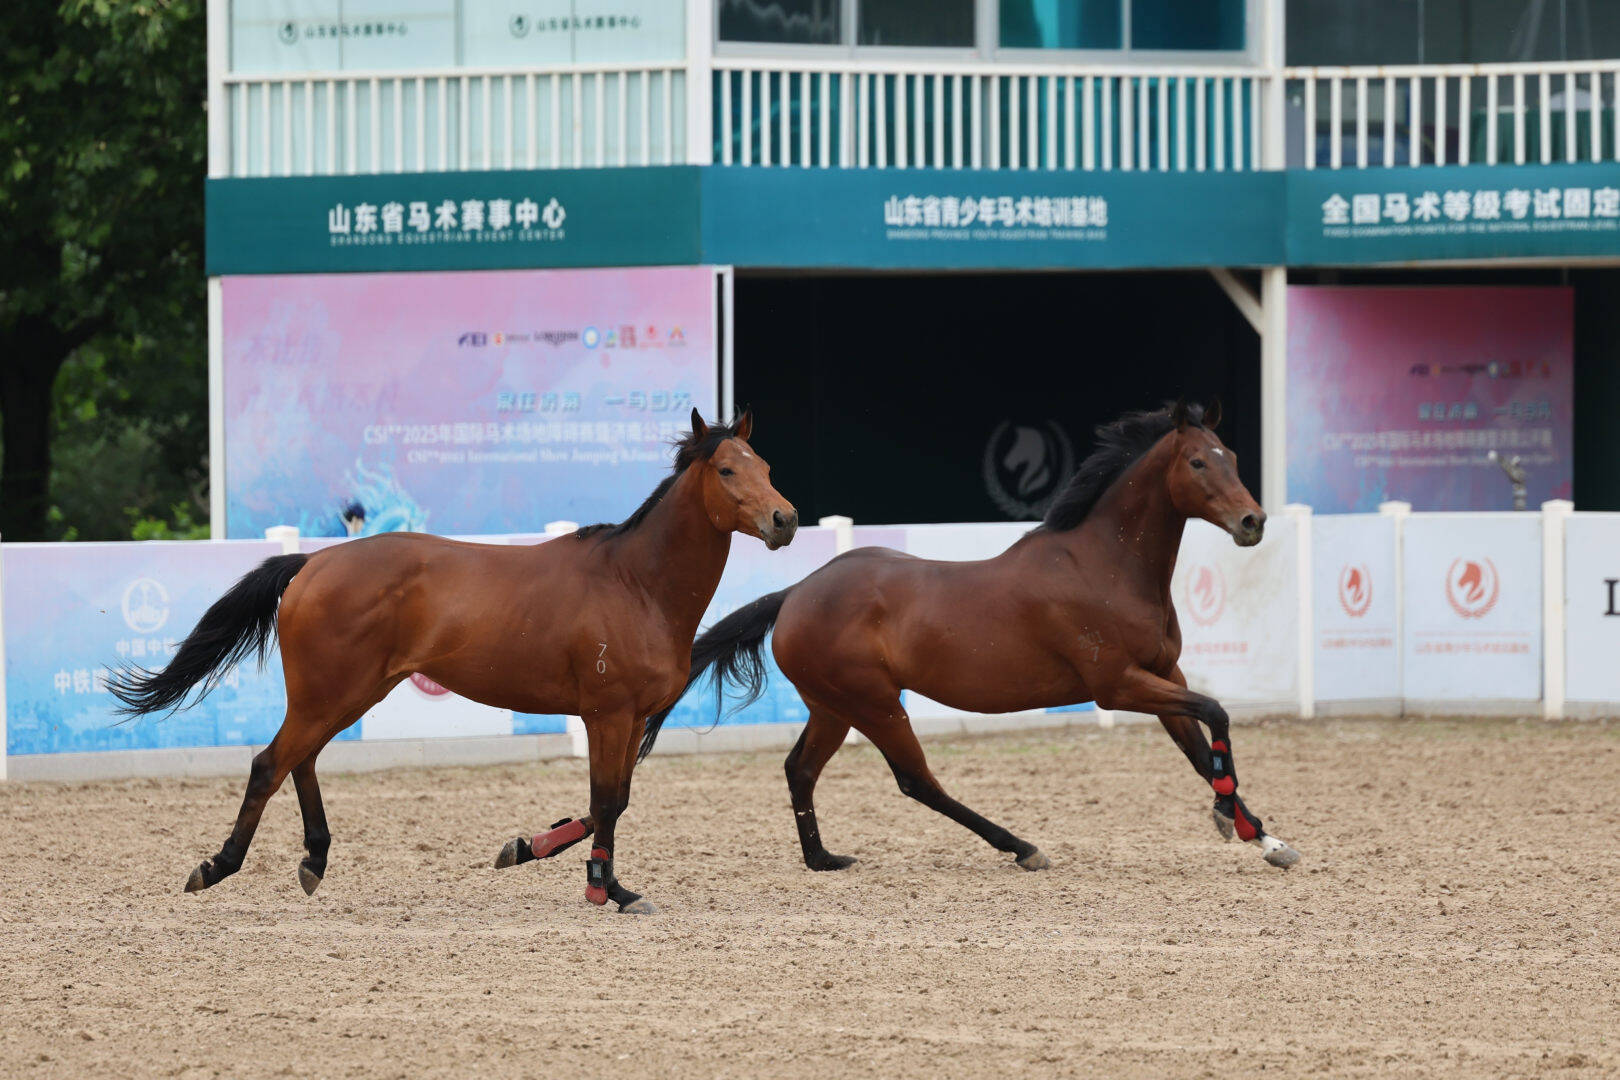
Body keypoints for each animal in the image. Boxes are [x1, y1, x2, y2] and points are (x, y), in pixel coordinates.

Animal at [108, 410, 797, 913]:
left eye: (765, 465)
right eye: (727, 470)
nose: (784, 520)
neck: (637, 584)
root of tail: (314, 561)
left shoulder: (631, 720)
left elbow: (615, 801)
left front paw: (549, 858)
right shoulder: (608, 715)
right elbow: (604, 802)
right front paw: (597, 886)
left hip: (347, 695)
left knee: (299, 761)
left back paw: (314, 859)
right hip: (330, 694)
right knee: (268, 765)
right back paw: (217, 866)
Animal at [639, 401, 1300, 876]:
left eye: (1230, 455)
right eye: (1197, 464)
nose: (1253, 522)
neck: (1104, 565)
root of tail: (798, 592)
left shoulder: (1165, 678)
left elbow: (1201, 747)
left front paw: (1265, 838)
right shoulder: (1120, 686)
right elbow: (1217, 715)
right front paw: (1231, 818)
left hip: (834, 707)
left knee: (800, 769)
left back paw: (823, 859)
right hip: (873, 704)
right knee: (916, 780)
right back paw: (1022, 846)